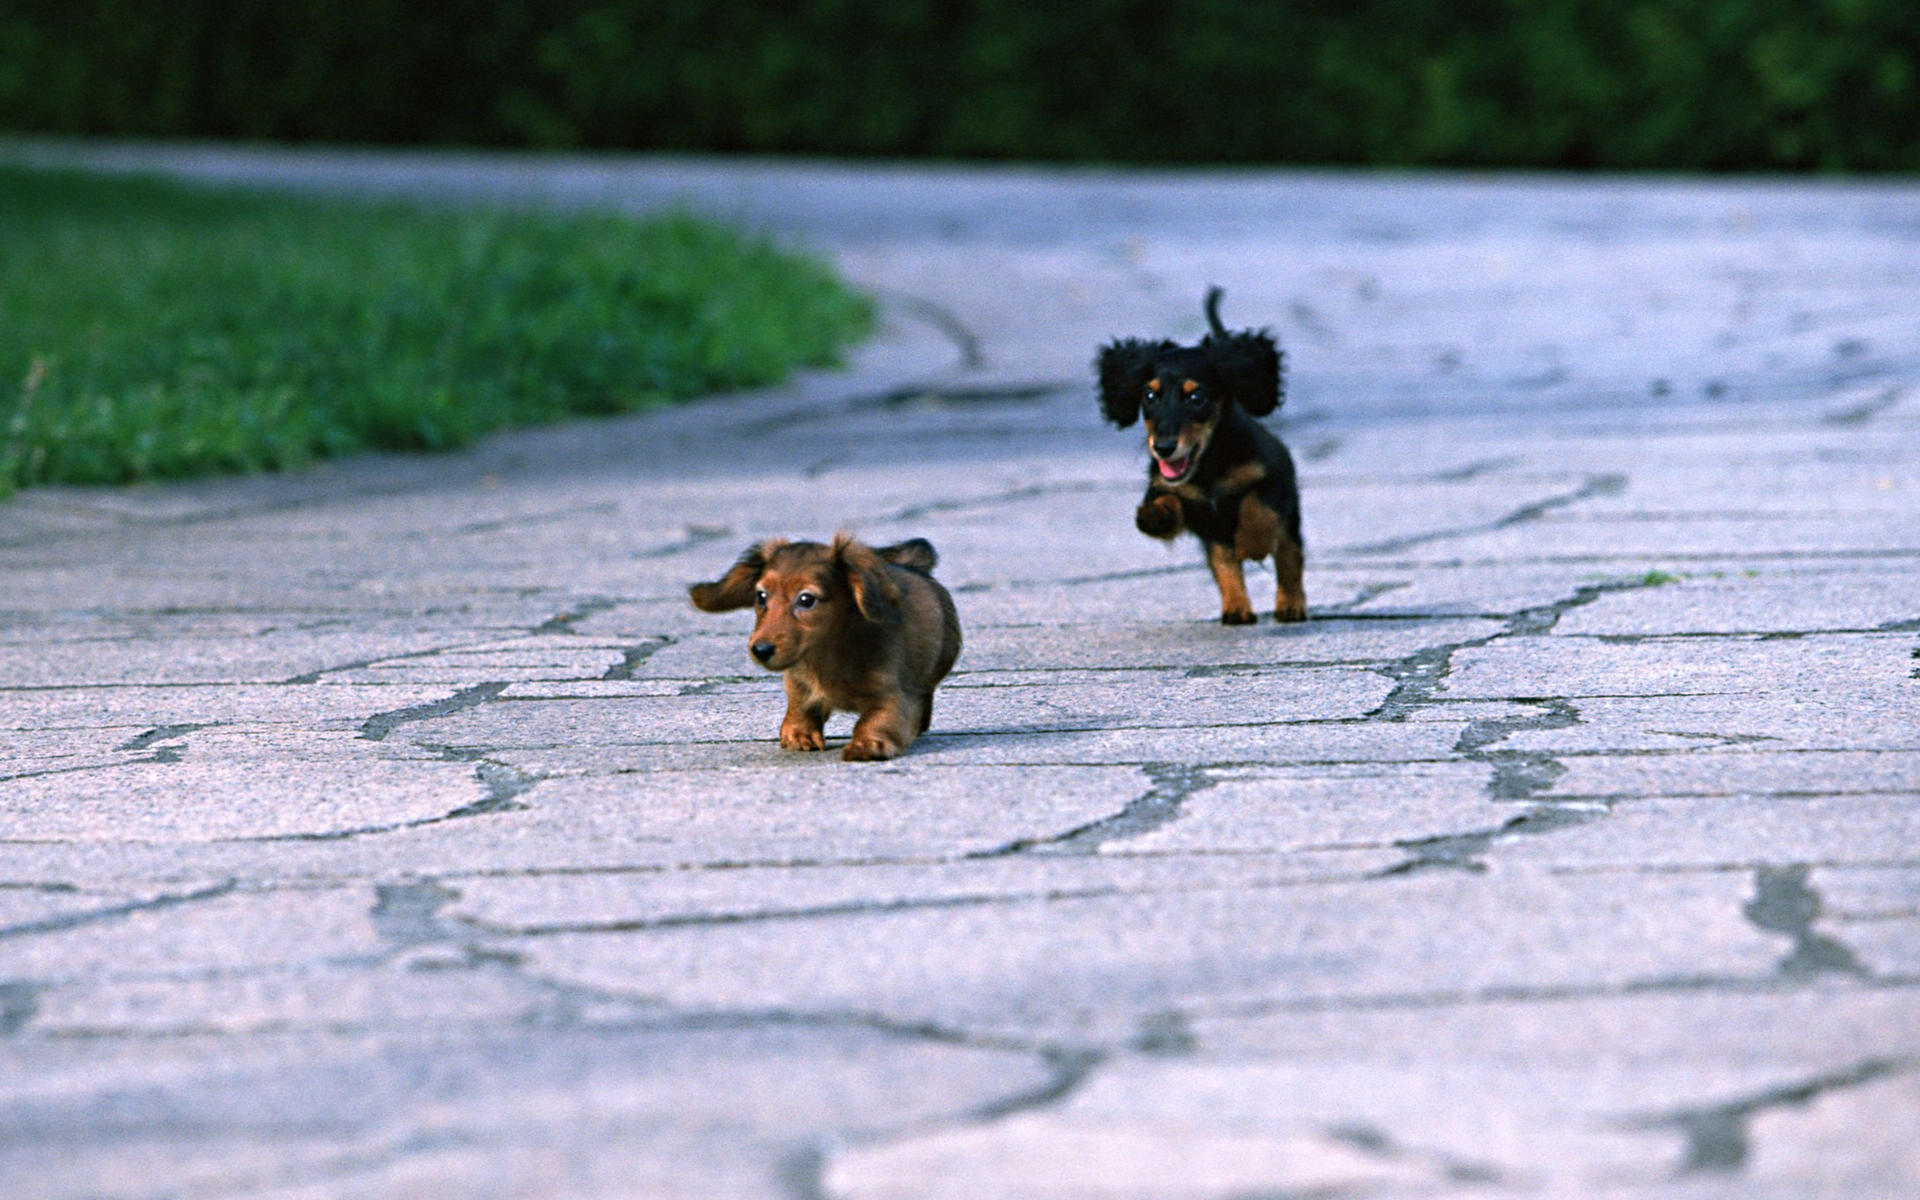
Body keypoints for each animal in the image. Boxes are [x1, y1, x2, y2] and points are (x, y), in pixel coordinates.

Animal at [687, 533, 960, 756]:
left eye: (806, 599)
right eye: (761, 596)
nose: (760, 650)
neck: (826, 654)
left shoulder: (893, 694)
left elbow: (877, 720)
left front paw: (867, 743)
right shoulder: (797, 683)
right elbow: (800, 707)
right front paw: (799, 733)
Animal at [1098, 288, 1305, 625]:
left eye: (1196, 397)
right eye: (1150, 396)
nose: (1163, 447)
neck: (1208, 466)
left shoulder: (1272, 478)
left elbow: (1256, 507)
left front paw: (1253, 542)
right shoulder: (1182, 499)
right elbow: (1169, 501)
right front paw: (1154, 516)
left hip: (1290, 520)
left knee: (1289, 555)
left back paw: (1291, 605)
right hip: (1215, 543)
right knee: (1224, 564)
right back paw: (1236, 608)